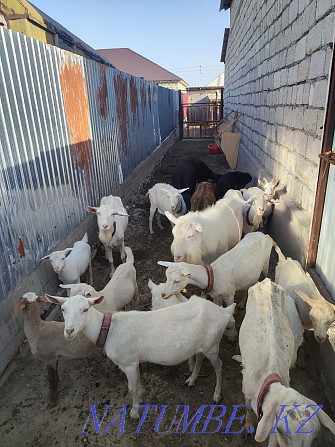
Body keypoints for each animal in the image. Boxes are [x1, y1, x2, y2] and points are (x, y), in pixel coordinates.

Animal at [46, 294, 236, 420]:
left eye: (85, 309)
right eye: (63, 309)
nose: (69, 331)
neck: (109, 330)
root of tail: (224, 312)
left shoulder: (128, 363)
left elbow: (131, 388)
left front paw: (134, 412)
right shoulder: (134, 362)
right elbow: (137, 383)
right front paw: (142, 397)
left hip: (213, 344)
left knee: (219, 365)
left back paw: (217, 394)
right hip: (201, 345)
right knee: (200, 358)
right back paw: (192, 379)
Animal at [236, 280, 335, 447]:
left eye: (314, 436)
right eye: (281, 430)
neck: (269, 375)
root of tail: (268, 282)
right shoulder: (246, 389)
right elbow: (248, 408)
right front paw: (249, 424)